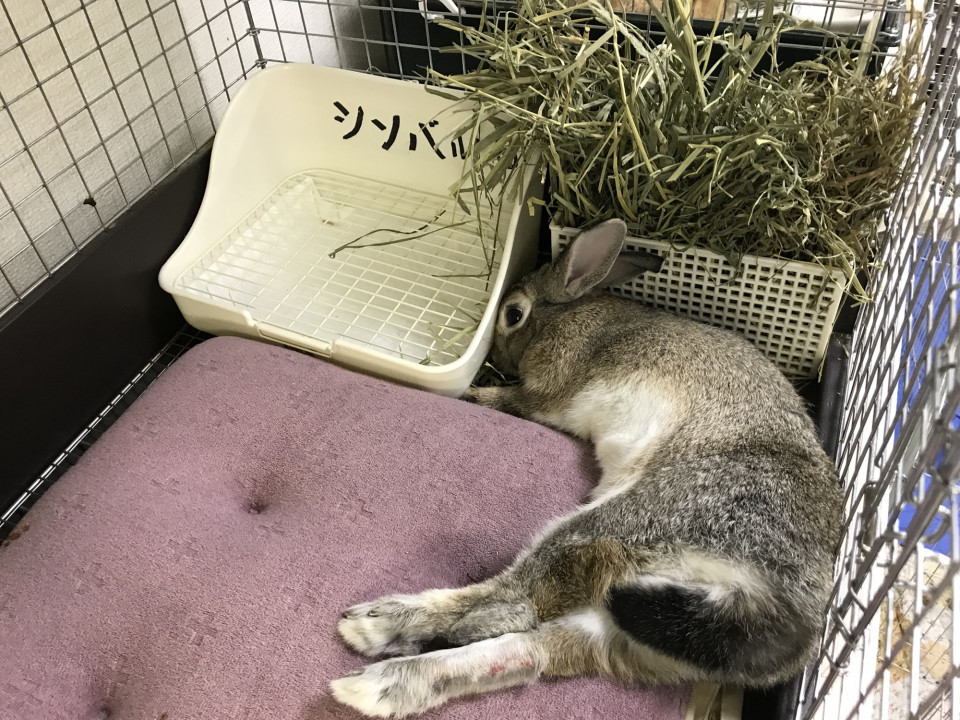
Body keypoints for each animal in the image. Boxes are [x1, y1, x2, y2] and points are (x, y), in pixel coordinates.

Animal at [330, 219, 843, 718]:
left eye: (513, 314)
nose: (495, 358)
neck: (565, 314)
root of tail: (778, 614)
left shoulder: (547, 394)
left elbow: (517, 401)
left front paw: (478, 395)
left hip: (624, 524)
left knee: (514, 600)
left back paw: (375, 625)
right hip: (622, 630)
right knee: (528, 649)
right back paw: (376, 686)